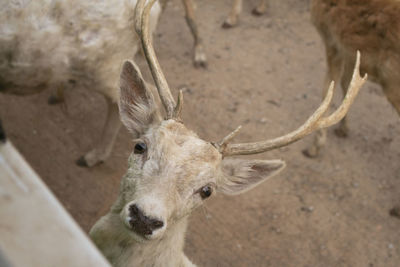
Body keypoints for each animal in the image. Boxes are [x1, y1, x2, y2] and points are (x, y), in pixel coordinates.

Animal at [304, 0, 400, 159]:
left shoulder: (332, 41)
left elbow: (327, 90)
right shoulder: (350, 52)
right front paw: (343, 129)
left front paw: (315, 147)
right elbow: (346, 85)